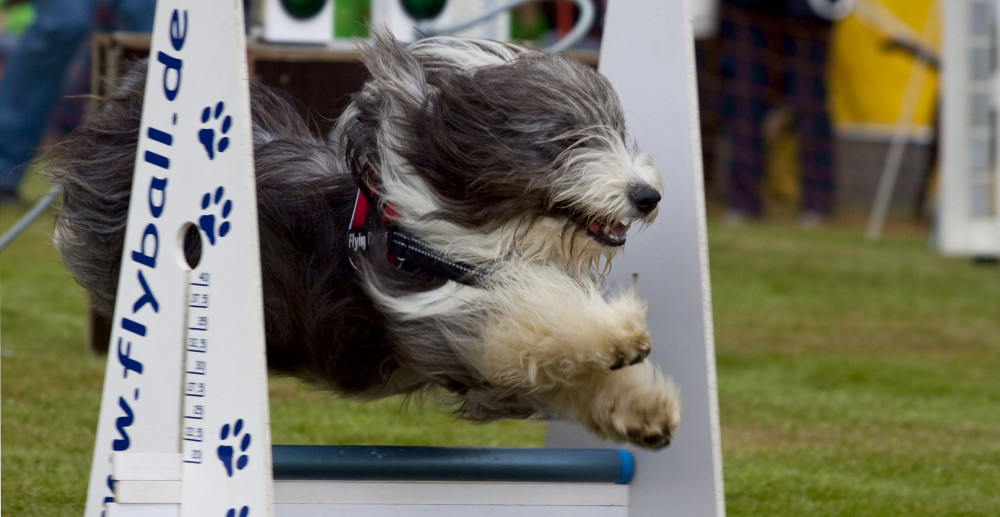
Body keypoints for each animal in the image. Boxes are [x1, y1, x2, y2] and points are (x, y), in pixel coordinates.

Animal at [50, 34, 684, 450]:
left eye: (617, 132)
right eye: (564, 141)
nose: (647, 195)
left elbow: (562, 375)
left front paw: (642, 410)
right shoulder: (435, 313)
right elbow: (526, 312)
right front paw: (617, 331)